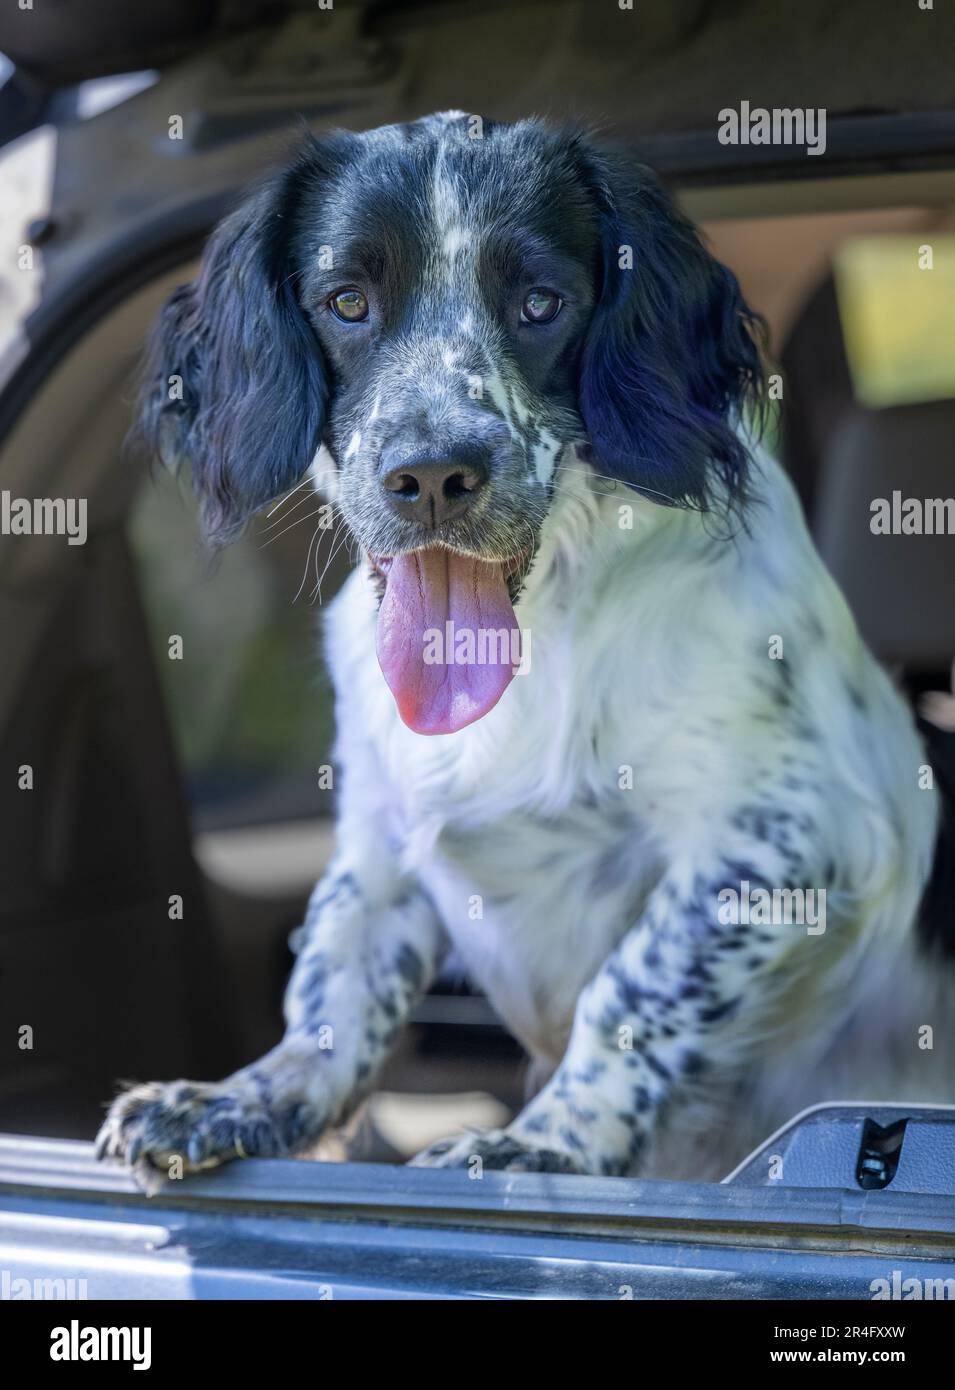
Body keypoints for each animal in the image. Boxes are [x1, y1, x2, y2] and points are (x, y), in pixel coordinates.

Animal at [97, 113, 950, 1189]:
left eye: (541, 303)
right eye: (346, 302)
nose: (431, 474)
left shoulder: (783, 837)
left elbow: (631, 988)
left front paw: (546, 1141)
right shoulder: (379, 838)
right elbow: (334, 977)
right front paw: (244, 1097)